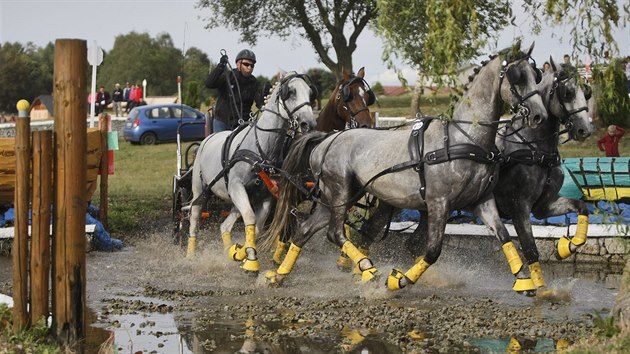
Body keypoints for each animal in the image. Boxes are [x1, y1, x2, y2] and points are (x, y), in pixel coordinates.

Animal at [264, 42, 552, 294]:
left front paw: (524, 281)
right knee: (334, 233)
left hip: (335, 199)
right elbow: (432, 251)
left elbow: (505, 236)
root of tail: (326, 139)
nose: (540, 116)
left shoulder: (482, 201)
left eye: (536, 75)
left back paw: (278, 276)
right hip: (340, 191)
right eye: (517, 76)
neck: (464, 139)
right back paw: (367, 269)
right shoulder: (438, 203)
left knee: (304, 231)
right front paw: (398, 280)